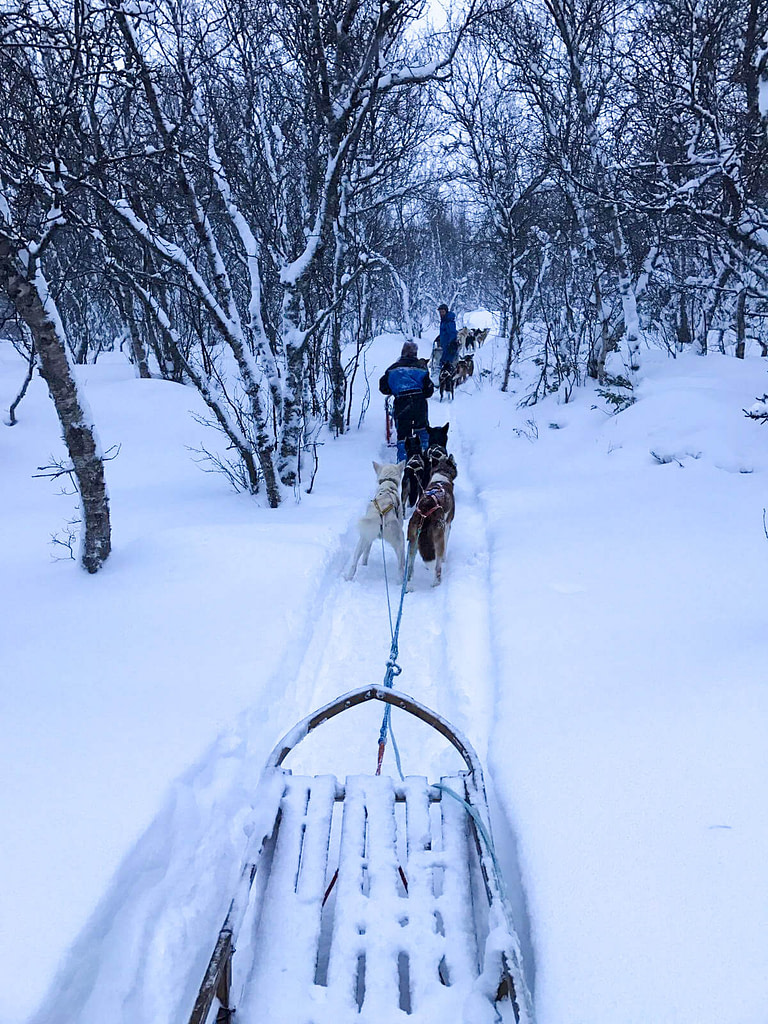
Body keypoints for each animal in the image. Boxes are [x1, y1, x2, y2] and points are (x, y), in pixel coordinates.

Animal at [409, 454, 456, 589]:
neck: (441, 477)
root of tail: (425, 513)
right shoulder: (447, 526)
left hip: (412, 543)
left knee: (409, 570)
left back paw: (408, 587)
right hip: (438, 539)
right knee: (437, 568)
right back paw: (436, 583)